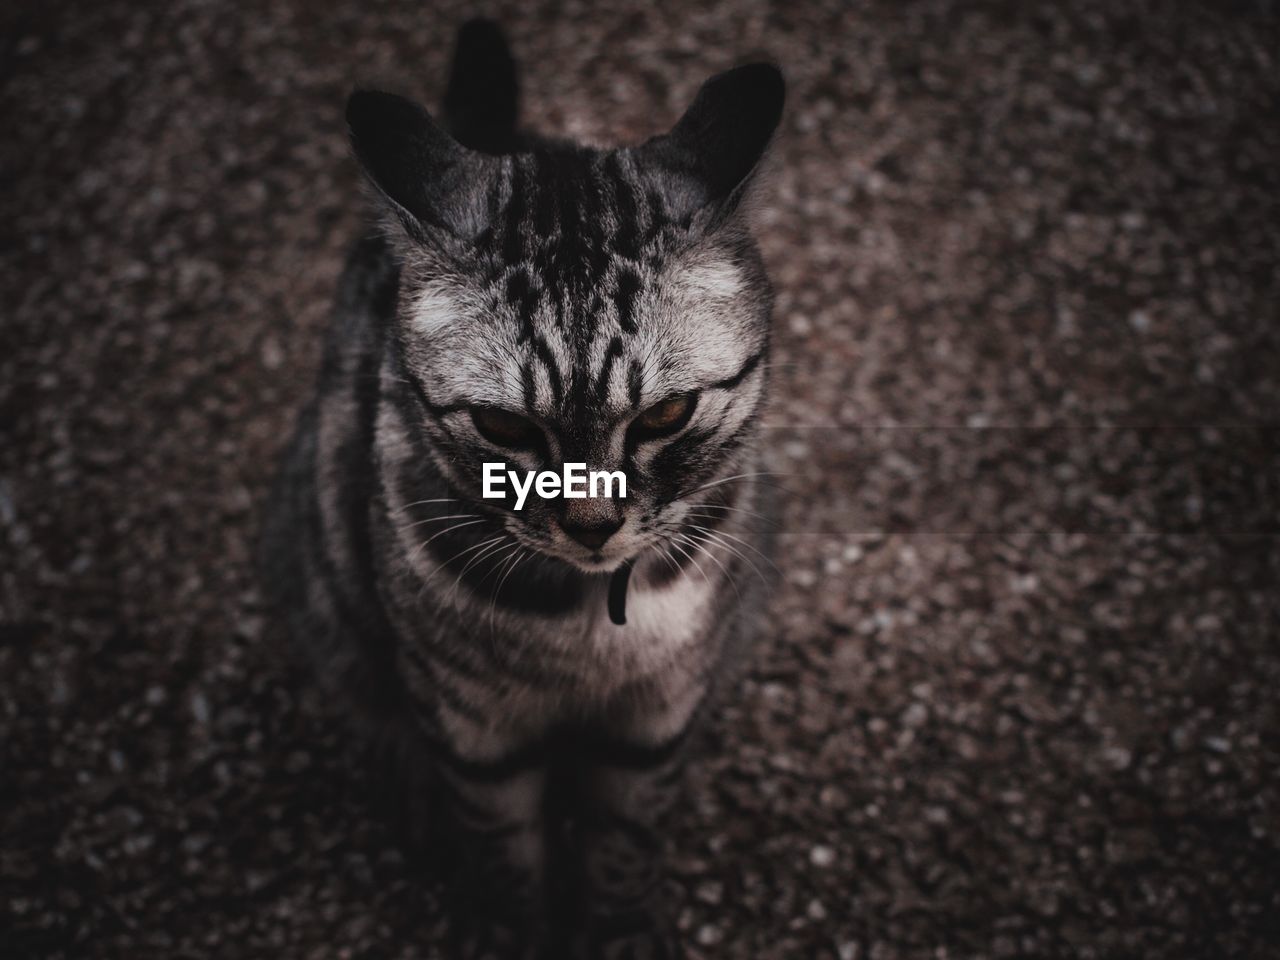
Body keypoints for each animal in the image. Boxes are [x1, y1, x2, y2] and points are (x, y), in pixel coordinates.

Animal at [264, 16, 783, 960]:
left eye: (667, 414)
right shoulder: (477, 733)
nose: (592, 524)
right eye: (503, 429)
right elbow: (504, 851)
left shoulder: (654, 721)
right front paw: (512, 926)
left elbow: (624, 843)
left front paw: (620, 928)